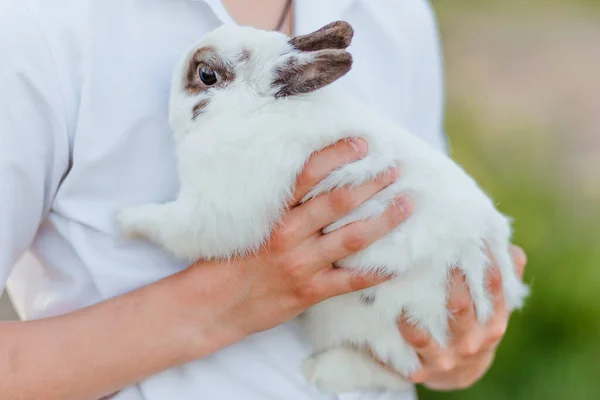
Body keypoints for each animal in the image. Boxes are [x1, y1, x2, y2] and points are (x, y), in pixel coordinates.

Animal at [117, 21, 528, 394]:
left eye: (206, 75)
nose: (167, 94)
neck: (256, 112)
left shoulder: (213, 210)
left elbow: (172, 227)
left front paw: (124, 220)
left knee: (397, 369)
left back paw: (322, 371)